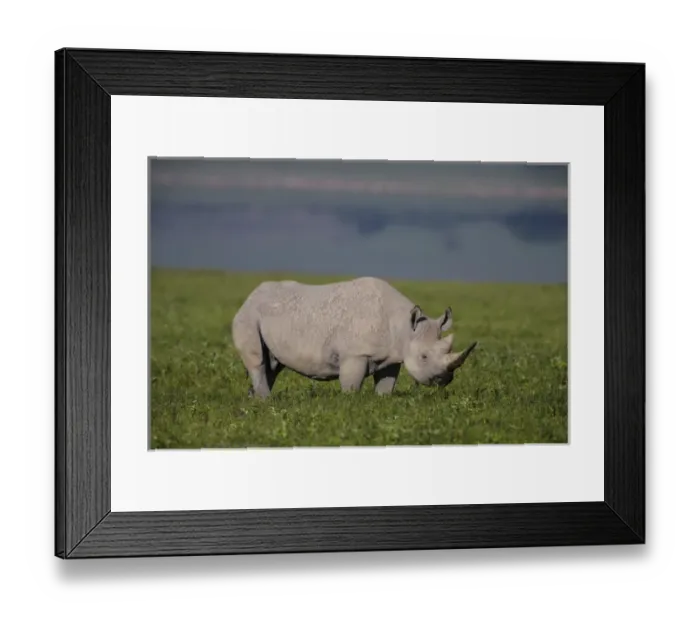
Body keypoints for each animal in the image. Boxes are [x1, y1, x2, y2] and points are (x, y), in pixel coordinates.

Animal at [232, 276, 478, 398]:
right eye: (424, 357)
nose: (444, 380)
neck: (404, 328)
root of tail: (250, 296)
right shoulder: (355, 354)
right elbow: (351, 384)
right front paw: (350, 404)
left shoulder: (391, 355)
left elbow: (386, 384)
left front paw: (381, 401)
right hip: (248, 315)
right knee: (258, 360)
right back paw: (267, 402)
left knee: (272, 364)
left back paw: (256, 399)